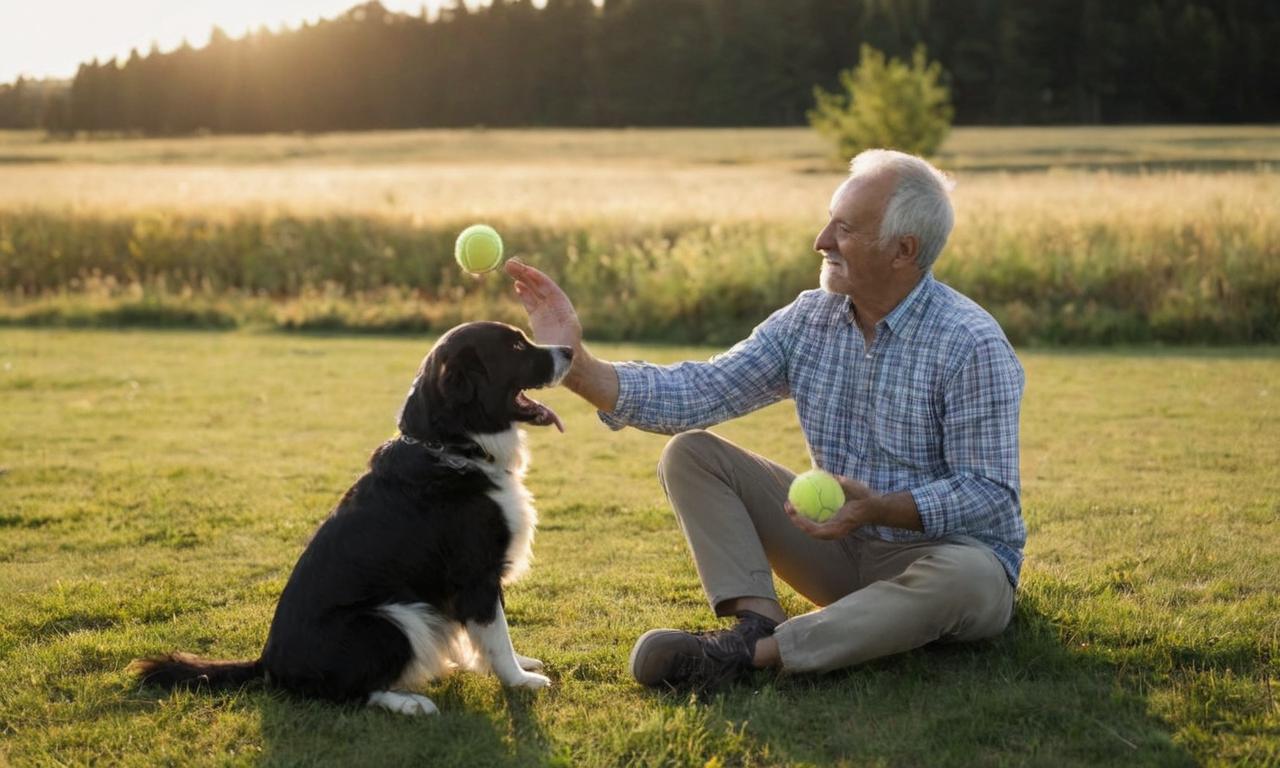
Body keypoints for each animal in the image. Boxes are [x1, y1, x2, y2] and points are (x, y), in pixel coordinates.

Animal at [128, 320, 570, 711]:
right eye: (516, 346)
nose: (569, 349)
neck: (451, 446)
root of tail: (267, 664)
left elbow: (484, 633)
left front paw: (508, 666)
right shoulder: (475, 573)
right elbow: (496, 634)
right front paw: (520, 680)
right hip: (392, 617)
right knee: (351, 693)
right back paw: (410, 703)